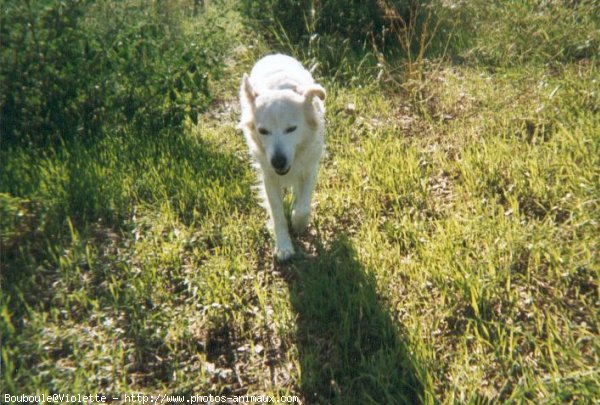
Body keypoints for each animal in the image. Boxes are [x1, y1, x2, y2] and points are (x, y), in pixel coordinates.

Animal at [238, 53, 326, 260]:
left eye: (291, 129)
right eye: (263, 131)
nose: (278, 161)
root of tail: (274, 55)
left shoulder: (309, 168)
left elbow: (303, 206)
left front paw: (298, 223)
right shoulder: (269, 176)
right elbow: (277, 212)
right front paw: (284, 246)